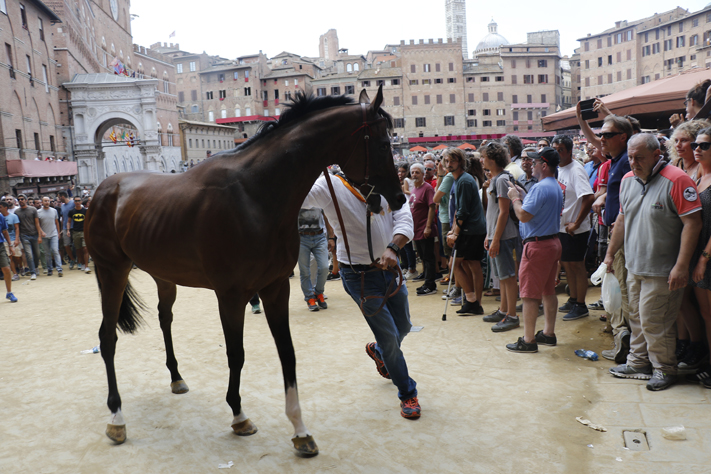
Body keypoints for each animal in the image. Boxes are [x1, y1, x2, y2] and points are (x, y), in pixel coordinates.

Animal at [85, 85, 404, 456]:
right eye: (382, 144)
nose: (396, 199)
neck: (255, 195)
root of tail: (102, 189)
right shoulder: (231, 295)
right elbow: (236, 354)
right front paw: (239, 415)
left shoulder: (276, 287)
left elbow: (288, 353)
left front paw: (300, 430)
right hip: (112, 271)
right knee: (107, 337)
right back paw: (116, 417)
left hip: (163, 275)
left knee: (165, 319)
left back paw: (176, 378)